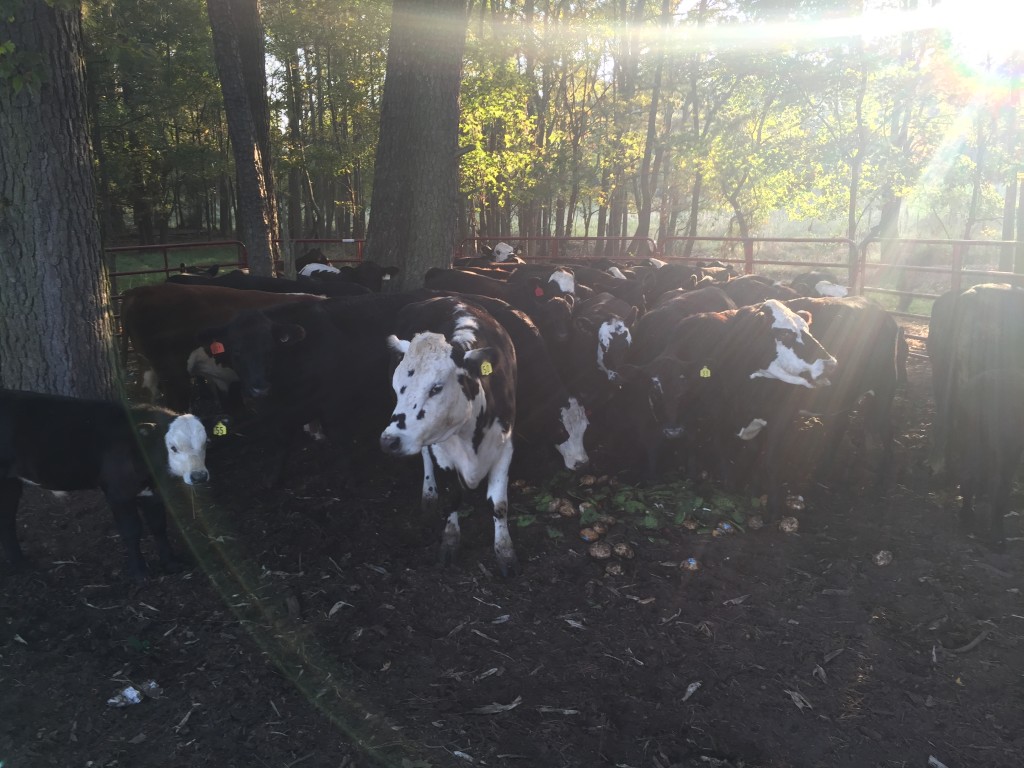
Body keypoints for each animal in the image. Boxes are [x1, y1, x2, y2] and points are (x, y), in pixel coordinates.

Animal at [0, 391, 207, 581]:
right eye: (173, 448)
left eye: (205, 444)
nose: (199, 476)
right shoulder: (118, 493)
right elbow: (131, 530)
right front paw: (139, 572)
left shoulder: (152, 493)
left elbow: (158, 526)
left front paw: (171, 564)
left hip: (10, 483)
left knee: (7, 521)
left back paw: (19, 562)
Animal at [380, 301, 520, 577]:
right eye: (397, 388)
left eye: (436, 388)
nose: (389, 441)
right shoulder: (441, 450)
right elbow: (452, 498)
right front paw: (450, 540)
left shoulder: (505, 444)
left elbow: (499, 504)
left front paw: (505, 552)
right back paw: (428, 492)